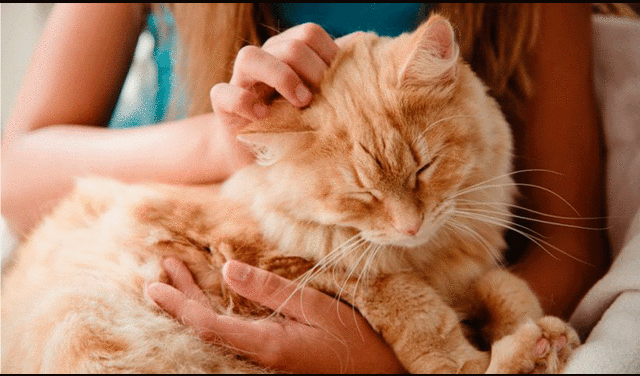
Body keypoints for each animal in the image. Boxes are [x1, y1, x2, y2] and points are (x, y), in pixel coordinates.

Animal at [1, 13, 580, 374]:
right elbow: (417, 310)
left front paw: (543, 330)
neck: (428, 256)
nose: (410, 225)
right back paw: (529, 354)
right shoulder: (286, 265)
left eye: (423, 169)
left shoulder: (463, 269)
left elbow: (504, 286)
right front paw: (493, 351)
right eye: (362, 194)